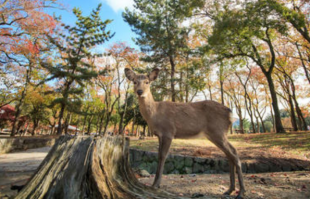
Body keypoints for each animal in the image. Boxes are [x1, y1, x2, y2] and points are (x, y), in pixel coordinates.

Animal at [124, 67, 246, 198]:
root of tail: (230, 113)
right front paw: (156, 183)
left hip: (218, 131)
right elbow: (159, 155)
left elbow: (162, 156)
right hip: (217, 134)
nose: (139, 91)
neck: (154, 115)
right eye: (134, 82)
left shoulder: (168, 131)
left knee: (234, 154)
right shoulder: (159, 135)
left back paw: (241, 192)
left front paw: (155, 185)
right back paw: (230, 189)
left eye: (147, 82)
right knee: (230, 154)